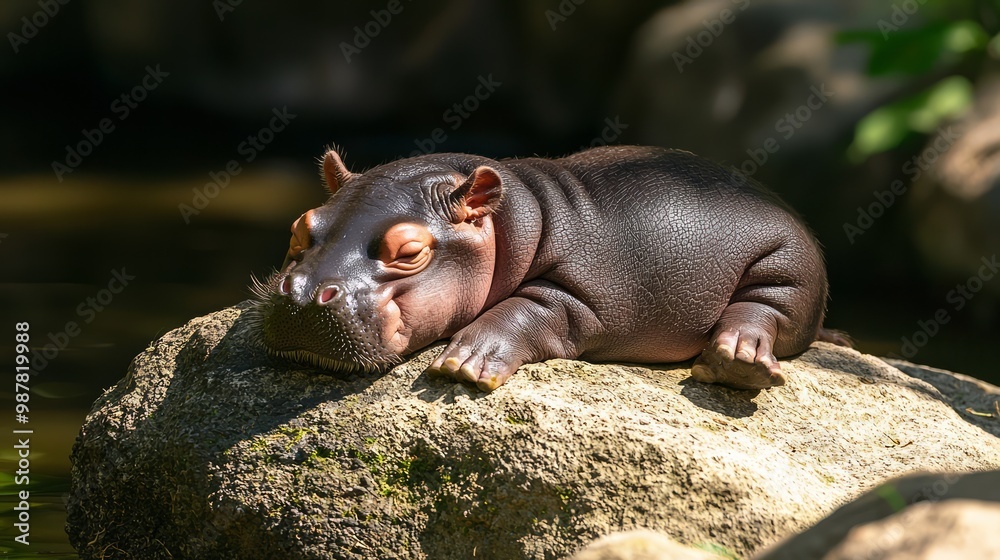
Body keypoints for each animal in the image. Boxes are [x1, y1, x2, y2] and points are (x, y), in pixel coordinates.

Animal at [251, 146, 846, 391]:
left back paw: (737, 361)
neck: (517, 216)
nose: (302, 294)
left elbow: (531, 307)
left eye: (410, 251)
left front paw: (465, 364)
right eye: (301, 227)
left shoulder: (586, 296)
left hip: (788, 267)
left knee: (763, 311)